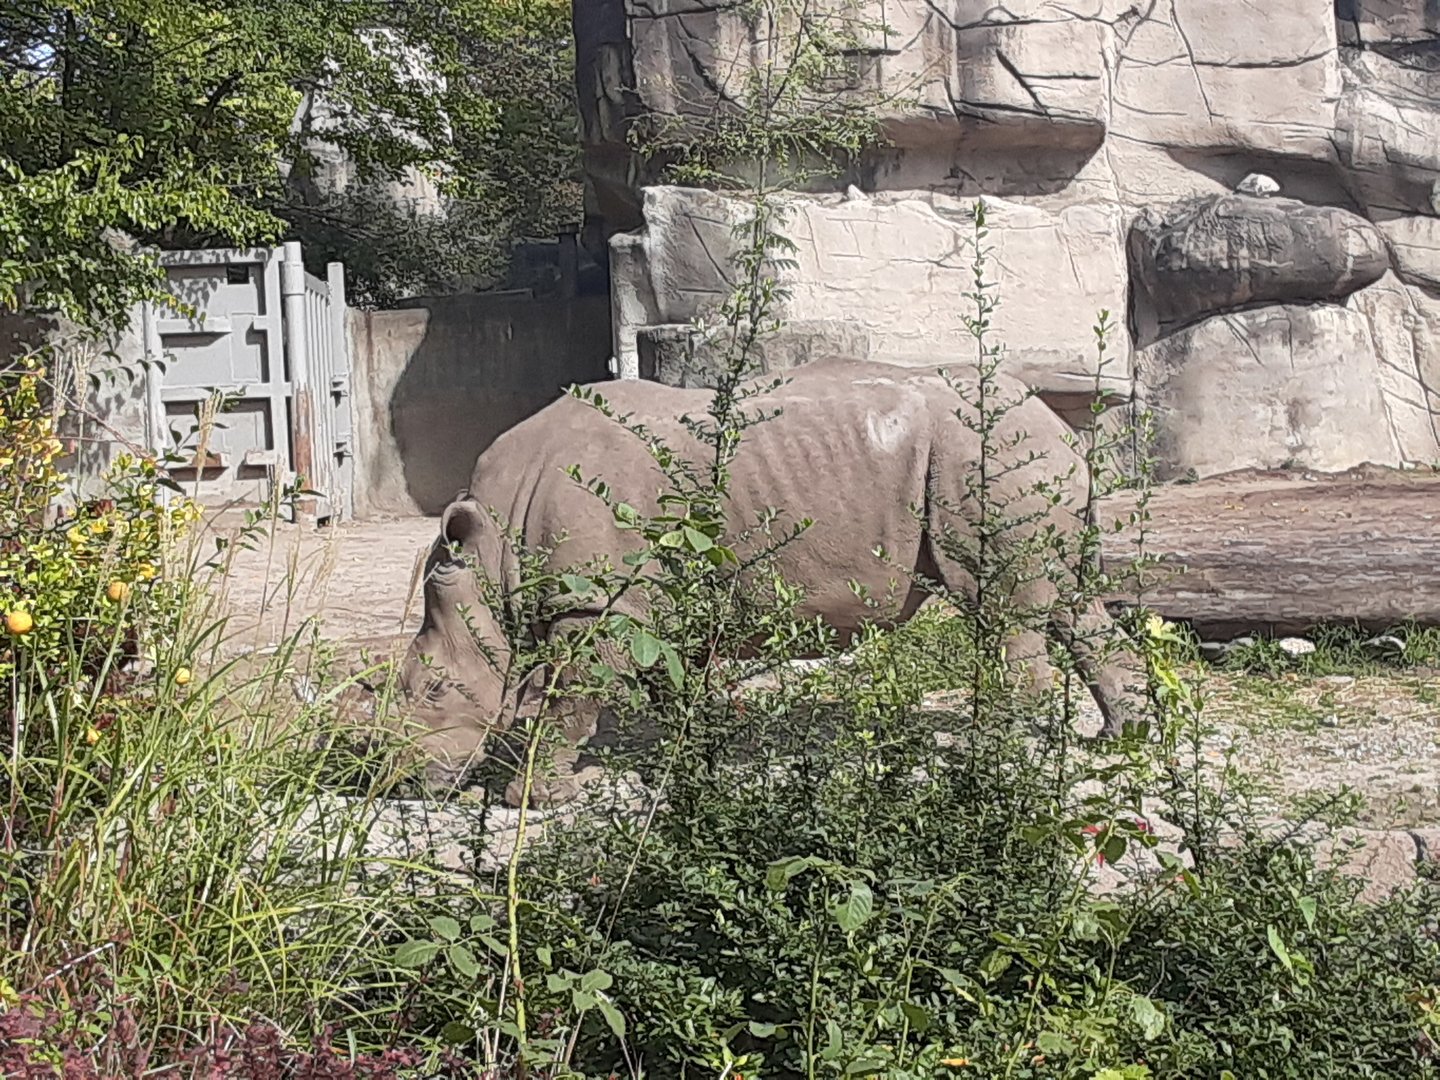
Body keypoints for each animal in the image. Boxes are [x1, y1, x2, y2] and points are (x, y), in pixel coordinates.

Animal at [401, 360, 1146, 803]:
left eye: (434, 689)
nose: (411, 780)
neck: (496, 550)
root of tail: (1063, 431)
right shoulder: (656, 601)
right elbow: (675, 685)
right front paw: (686, 763)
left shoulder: (596, 601)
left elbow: (570, 693)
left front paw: (531, 798)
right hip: (1010, 461)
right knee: (1070, 604)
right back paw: (1119, 739)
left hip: (987, 457)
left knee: (1004, 610)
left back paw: (993, 764)